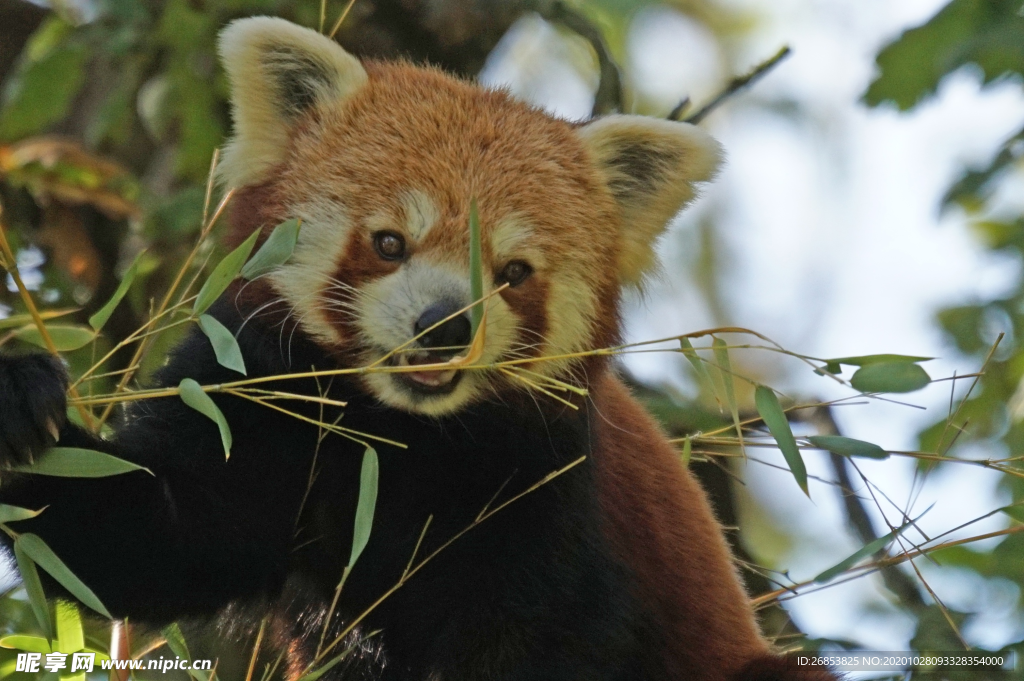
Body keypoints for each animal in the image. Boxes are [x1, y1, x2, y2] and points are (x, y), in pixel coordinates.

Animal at [0, 15, 839, 679]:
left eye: (512, 273)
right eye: (389, 243)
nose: (445, 323)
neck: (395, 433)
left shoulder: (546, 486)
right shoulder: (253, 393)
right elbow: (148, 537)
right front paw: (19, 398)